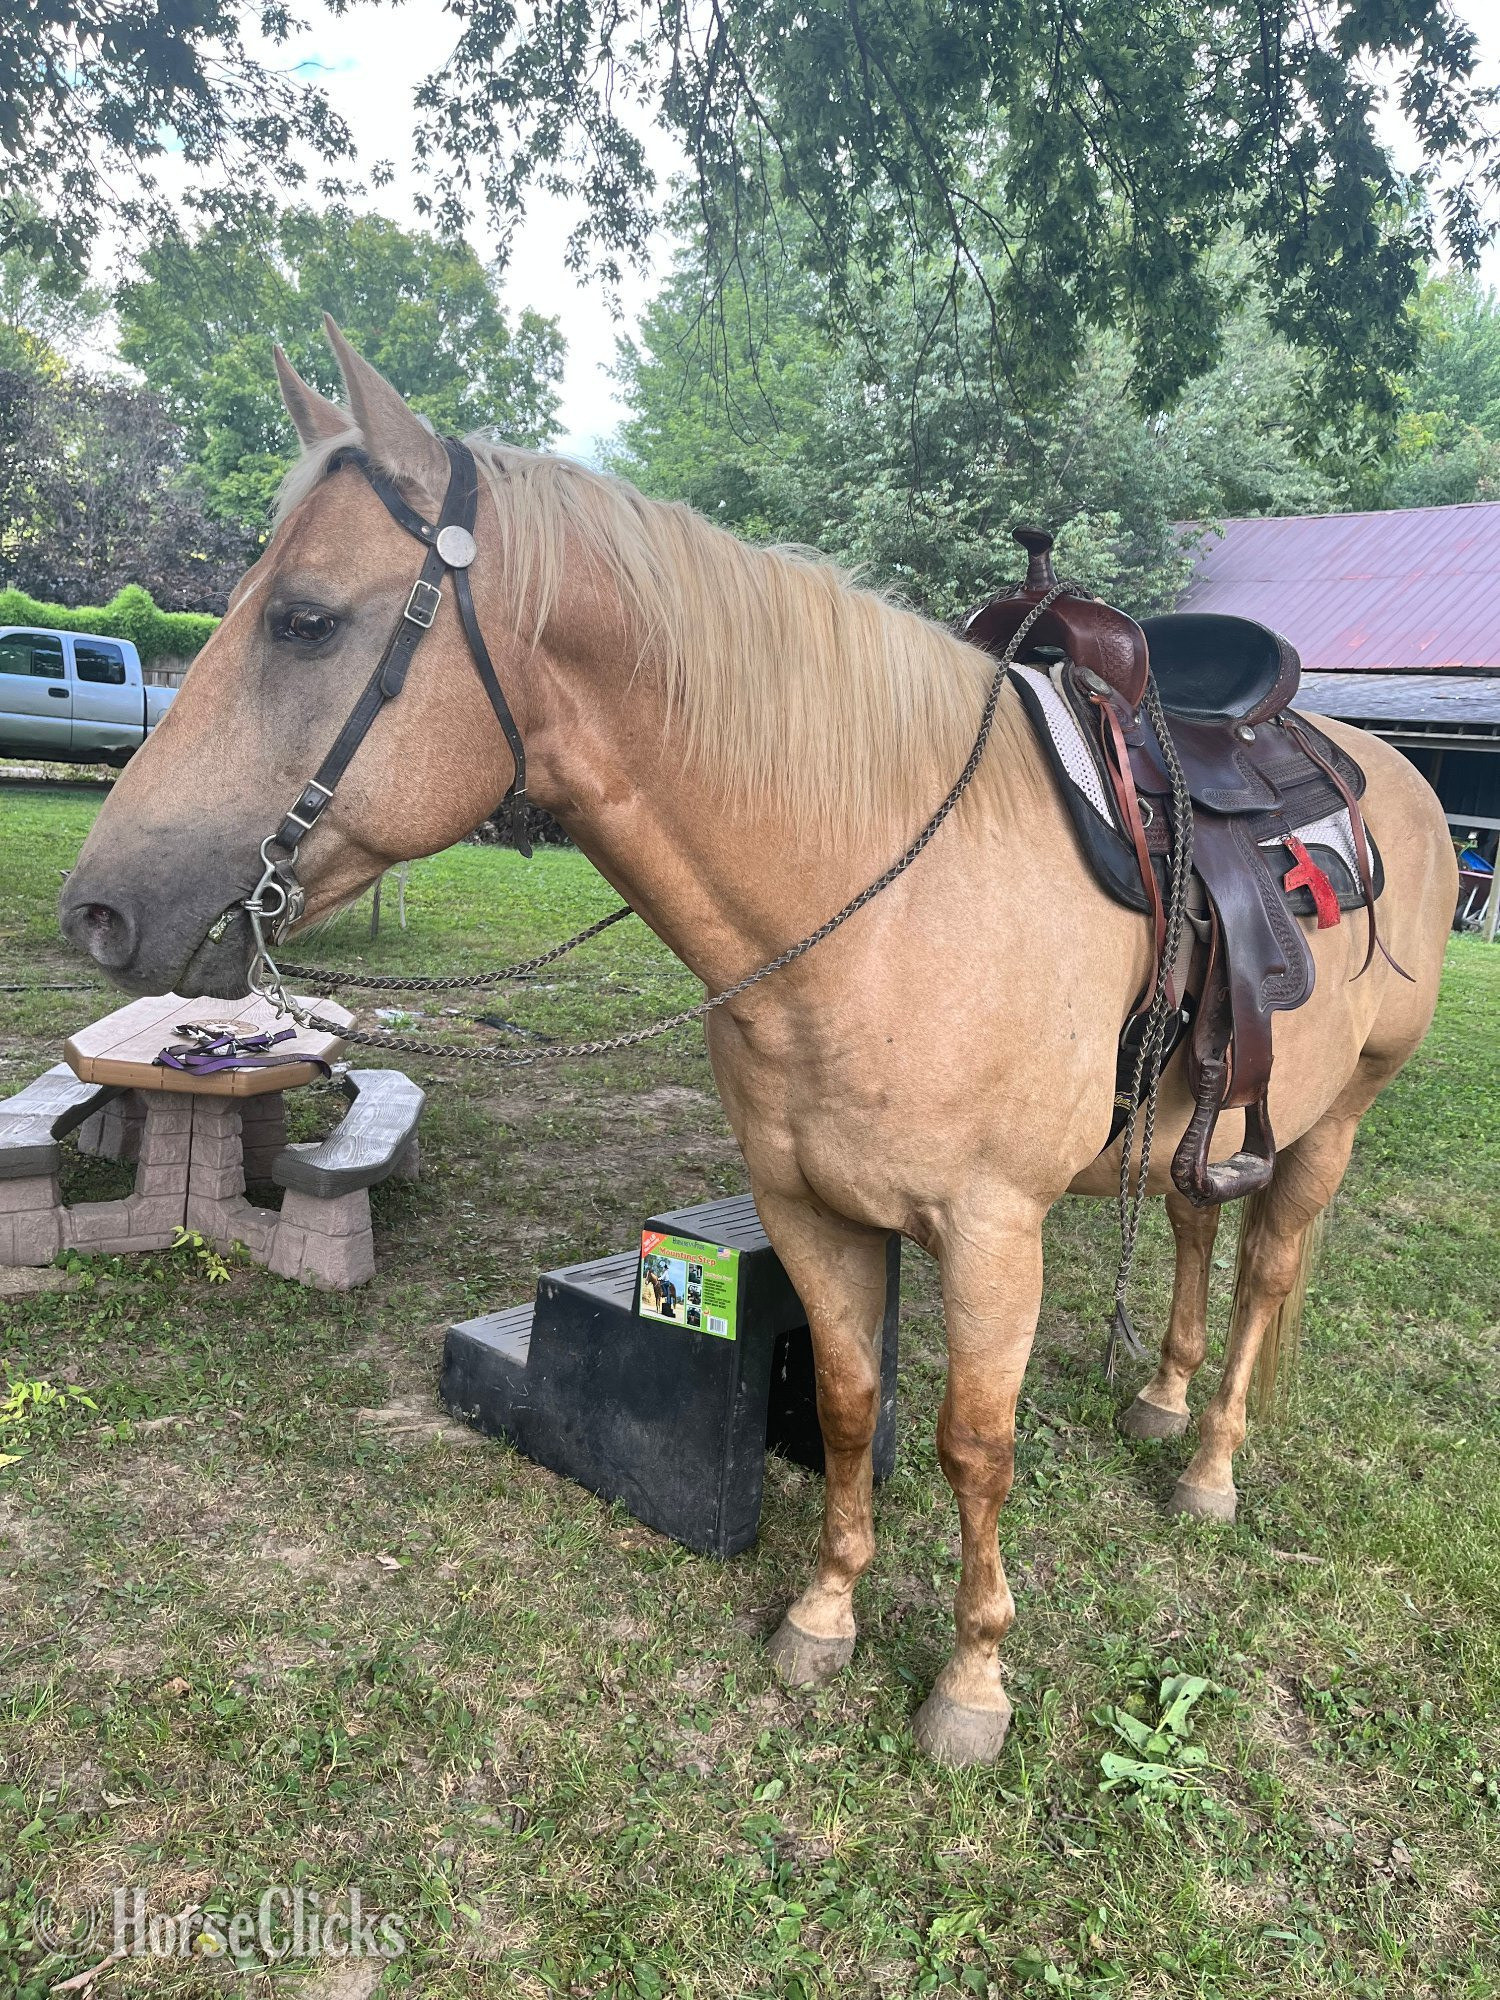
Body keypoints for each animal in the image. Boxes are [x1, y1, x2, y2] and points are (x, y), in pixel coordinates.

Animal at [59, 322, 1457, 1766]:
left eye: (306, 620)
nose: (98, 909)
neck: (887, 893)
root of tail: (1400, 780)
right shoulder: (806, 1204)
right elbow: (845, 1401)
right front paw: (825, 1615)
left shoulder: (993, 1229)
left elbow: (976, 1443)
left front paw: (971, 1682)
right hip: (1212, 1114)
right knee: (1191, 1228)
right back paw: (1165, 1400)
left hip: (1338, 1116)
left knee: (1266, 1273)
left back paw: (1209, 1463)